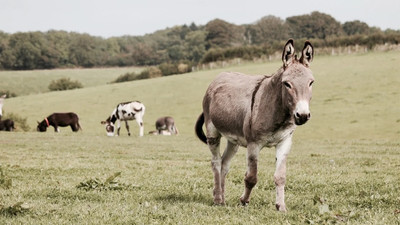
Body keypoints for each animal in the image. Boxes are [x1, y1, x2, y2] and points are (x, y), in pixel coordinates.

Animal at [195, 39, 316, 212]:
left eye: (311, 83)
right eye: (287, 84)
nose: (303, 115)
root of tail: (221, 75)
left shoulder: (285, 142)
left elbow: (280, 176)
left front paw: (281, 206)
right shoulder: (253, 144)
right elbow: (251, 177)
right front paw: (244, 201)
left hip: (233, 140)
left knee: (224, 163)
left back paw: (223, 198)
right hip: (212, 131)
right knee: (216, 162)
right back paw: (217, 198)